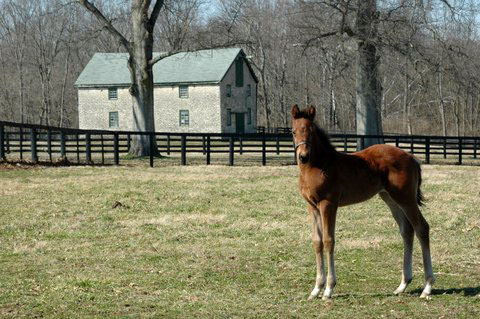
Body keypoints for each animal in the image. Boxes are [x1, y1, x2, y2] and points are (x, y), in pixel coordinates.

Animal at [290, 104, 436, 300]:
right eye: (293, 132)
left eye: (311, 131)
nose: (303, 156)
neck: (320, 166)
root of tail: (411, 157)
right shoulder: (312, 206)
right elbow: (317, 241)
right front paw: (316, 289)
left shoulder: (328, 204)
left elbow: (329, 240)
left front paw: (328, 289)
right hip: (390, 198)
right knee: (407, 231)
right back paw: (403, 284)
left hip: (406, 198)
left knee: (421, 228)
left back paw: (427, 287)